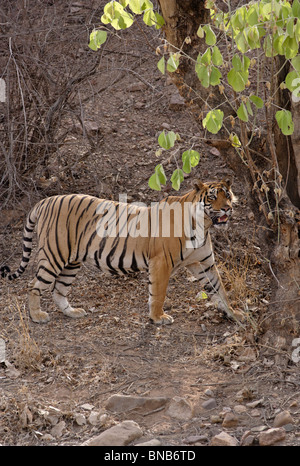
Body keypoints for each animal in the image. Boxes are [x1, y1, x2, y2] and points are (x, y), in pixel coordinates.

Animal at [0, 178, 244, 324]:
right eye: (212, 197)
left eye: (227, 195)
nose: (227, 208)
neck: (204, 224)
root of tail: (44, 201)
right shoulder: (161, 262)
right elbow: (158, 293)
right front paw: (158, 317)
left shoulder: (204, 263)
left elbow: (220, 290)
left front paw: (234, 313)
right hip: (54, 254)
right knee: (34, 285)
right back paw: (37, 315)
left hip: (71, 261)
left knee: (58, 289)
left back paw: (72, 312)